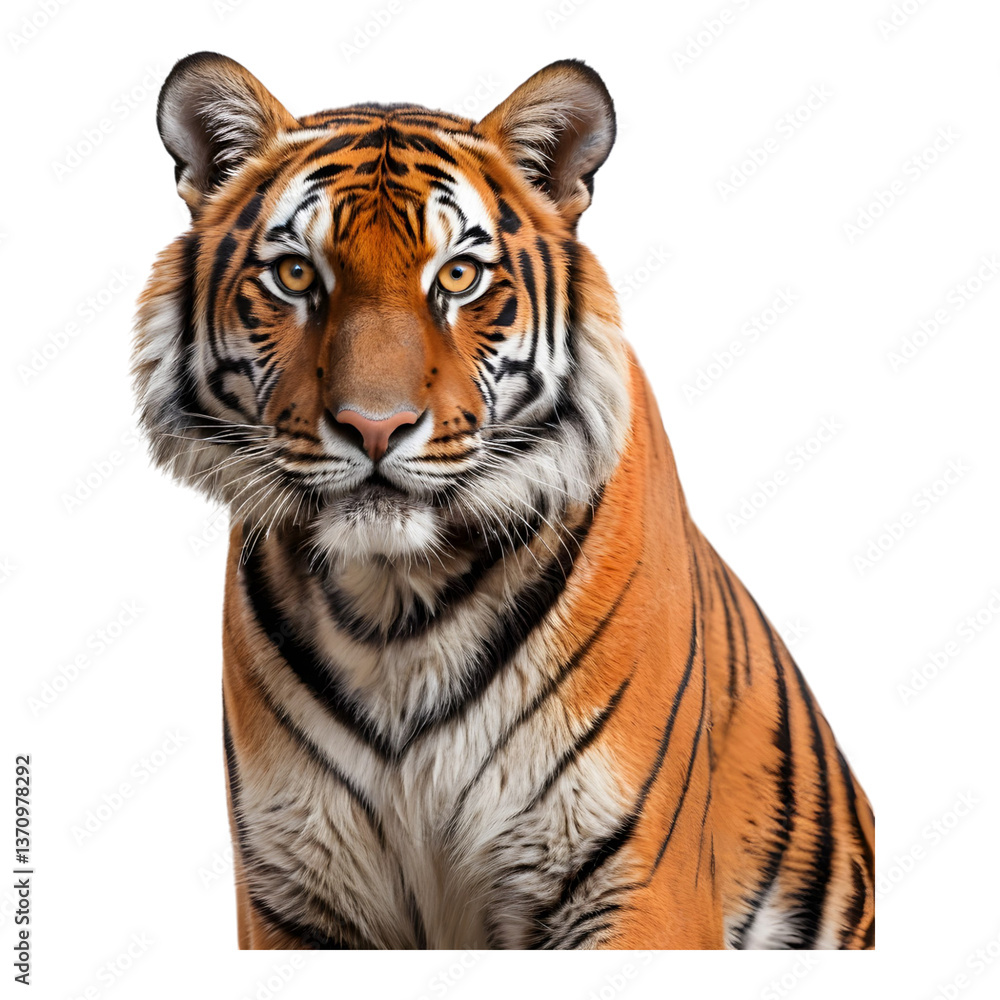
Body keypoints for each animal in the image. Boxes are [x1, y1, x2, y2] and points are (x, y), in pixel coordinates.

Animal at [132, 52, 874, 950]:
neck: (394, 606)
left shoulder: (630, 885)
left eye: (458, 275)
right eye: (296, 274)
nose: (374, 427)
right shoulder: (293, 889)